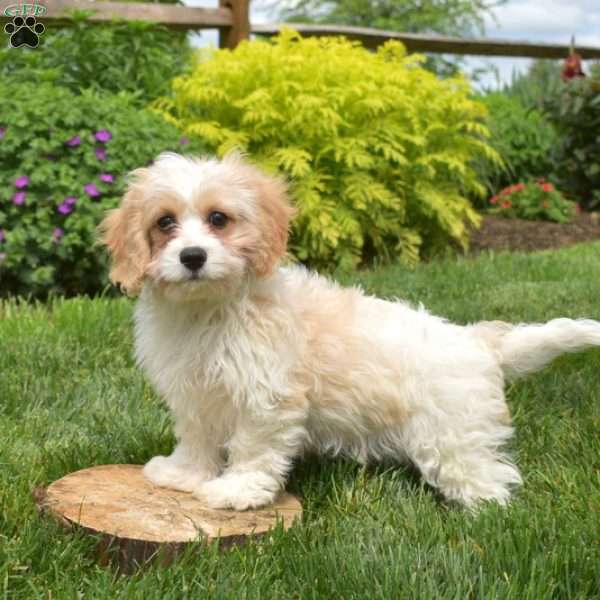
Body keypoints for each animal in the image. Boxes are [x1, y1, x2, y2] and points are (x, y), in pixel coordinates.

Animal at [101, 152, 600, 508]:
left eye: (218, 219)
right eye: (165, 222)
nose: (192, 257)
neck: (210, 309)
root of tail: (478, 340)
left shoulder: (267, 397)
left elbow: (253, 449)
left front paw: (236, 492)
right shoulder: (197, 394)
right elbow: (197, 438)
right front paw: (185, 474)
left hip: (454, 436)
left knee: (488, 478)